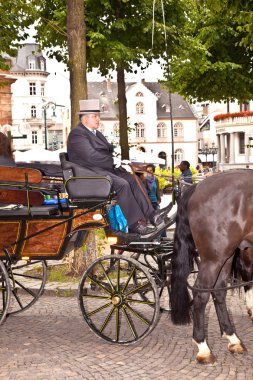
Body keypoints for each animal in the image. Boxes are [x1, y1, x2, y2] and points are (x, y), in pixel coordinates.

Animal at [170, 170, 253, 366]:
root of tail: (198, 185)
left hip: (226, 257)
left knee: (219, 291)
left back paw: (232, 337)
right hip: (213, 259)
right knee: (201, 294)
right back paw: (203, 347)